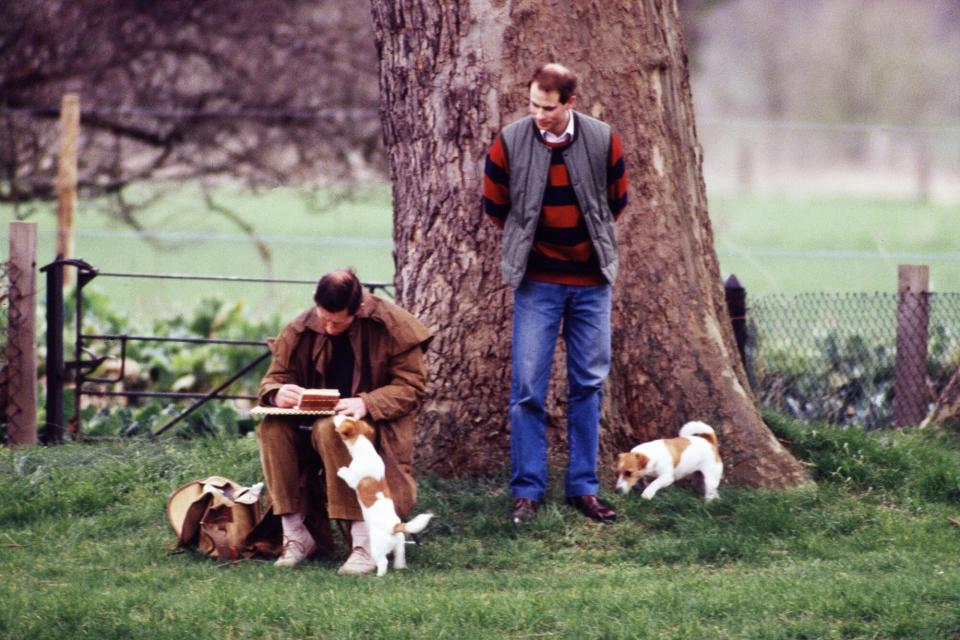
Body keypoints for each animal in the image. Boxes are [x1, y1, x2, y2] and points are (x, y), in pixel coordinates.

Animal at [332, 412, 434, 576]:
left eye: (343, 419)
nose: (336, 413)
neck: (365, 451)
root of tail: (395, 526)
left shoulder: (354, 480)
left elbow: (348, 475)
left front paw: (341, 471)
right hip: (400, 546)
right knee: (399, 559)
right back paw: (399, 568)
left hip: (377, 547)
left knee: (383, 562)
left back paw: (378, 576)